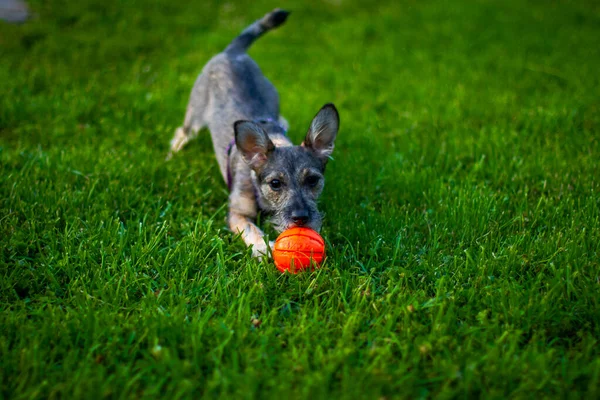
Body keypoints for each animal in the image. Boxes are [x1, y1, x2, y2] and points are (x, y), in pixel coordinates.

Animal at [166, 10, 340, 260]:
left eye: (313, 180)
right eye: (275, 183)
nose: (301, 218)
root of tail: (233, 52)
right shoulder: (236, 213)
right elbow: (252, 230)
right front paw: (264, 248)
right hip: (195, 113)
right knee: (182, 132)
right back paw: (172, 155)